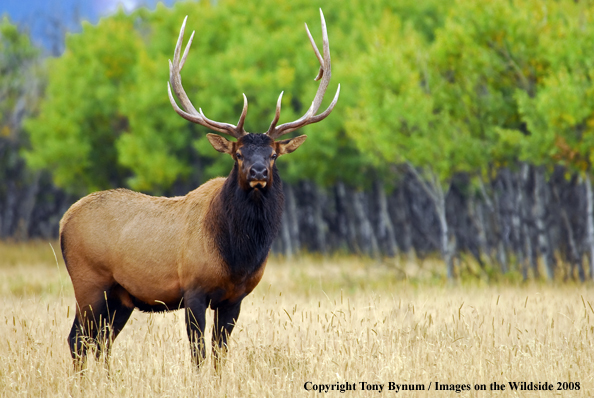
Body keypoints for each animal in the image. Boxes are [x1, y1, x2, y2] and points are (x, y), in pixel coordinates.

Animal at [61, 8, 338, 366]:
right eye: (238, 154)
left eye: (274, 154)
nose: (258, 171)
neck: (237, 255)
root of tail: (64, 220)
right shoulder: (193, 289)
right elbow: (198, 353)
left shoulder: (235, 298)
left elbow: (219, 352)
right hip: (89, 283)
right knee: (78, 340)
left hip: (121, 297)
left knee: (101, 342)